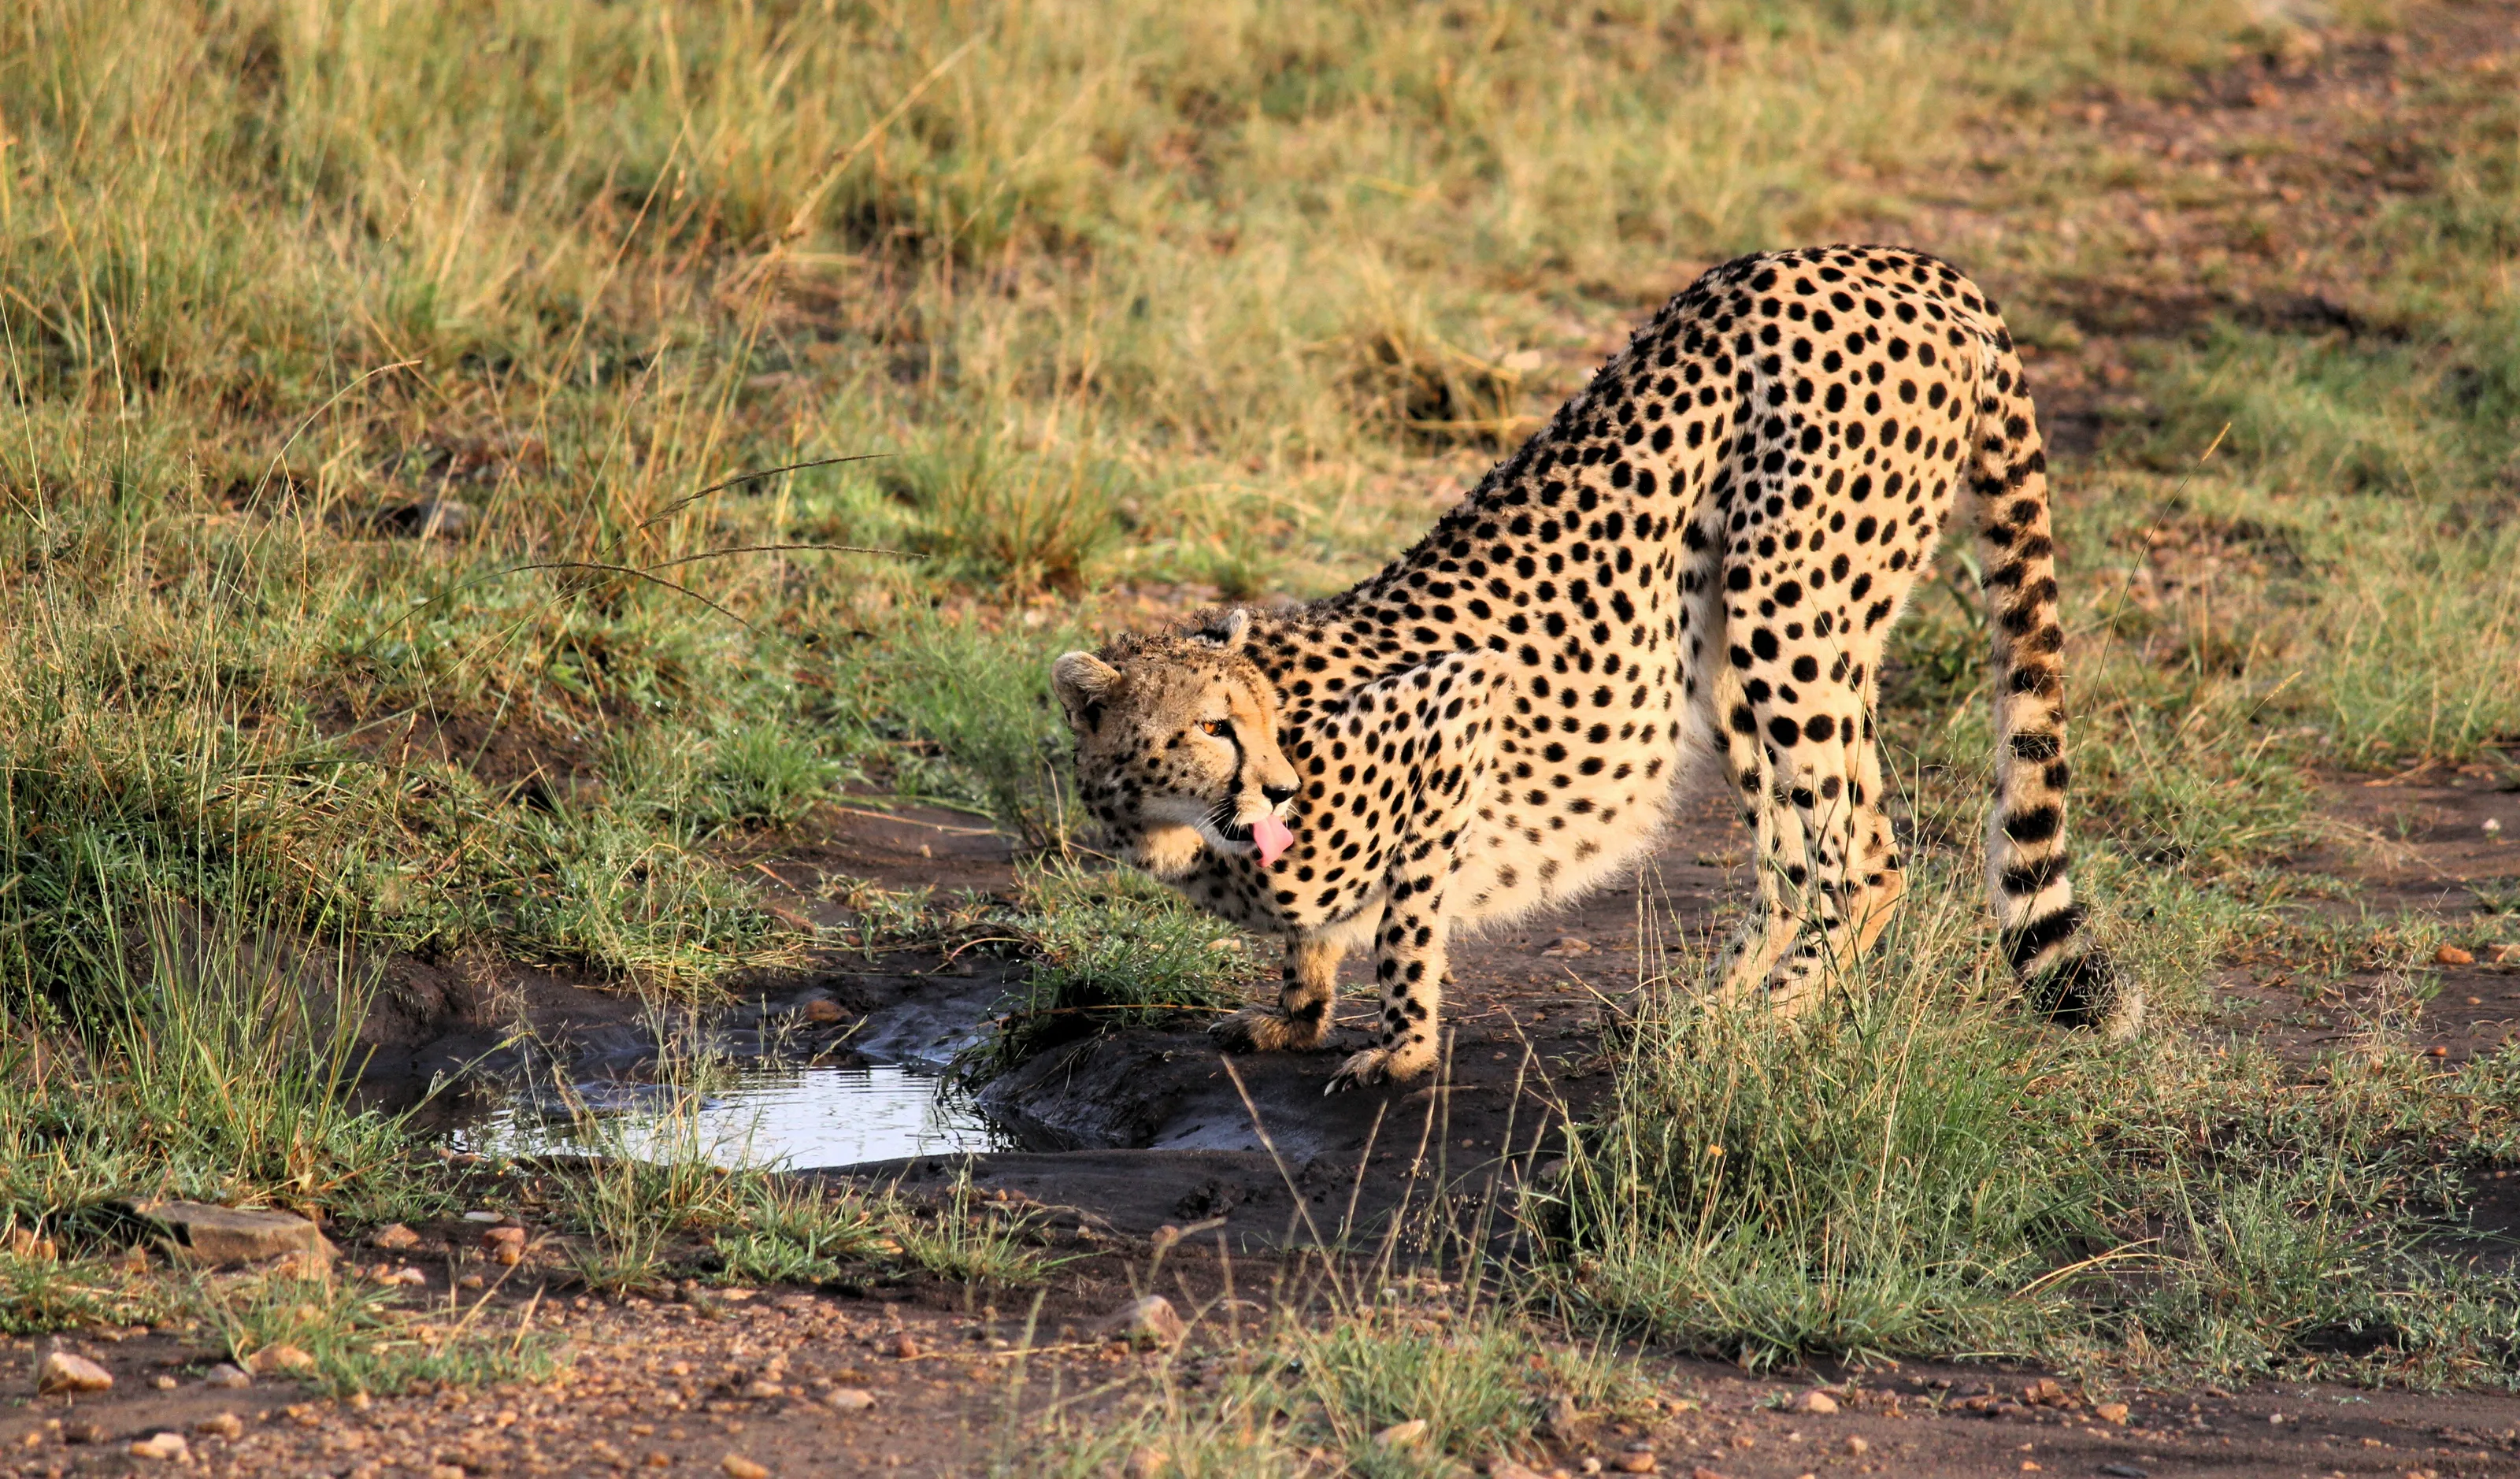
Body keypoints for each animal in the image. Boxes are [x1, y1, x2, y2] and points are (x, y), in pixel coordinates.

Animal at [1052, 245, 2138, 1090]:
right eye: (1212, 726)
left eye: (1262, 724)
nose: (1277, 787)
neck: (1183, 832)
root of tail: (1901, 261)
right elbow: (1309, 935)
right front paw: (1295, 1012)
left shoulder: (1449, 709)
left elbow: (1404, 921)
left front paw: (1401, 1049)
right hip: (1723, 640)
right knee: (1790, 858)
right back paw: (1705, 1011)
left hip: (1783, 602)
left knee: (1863, 858)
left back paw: (1757, 1022)